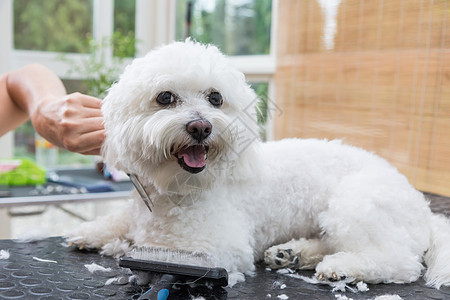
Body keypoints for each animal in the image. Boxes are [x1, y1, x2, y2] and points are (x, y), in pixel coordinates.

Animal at [68, 39, 450, 288]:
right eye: (165, 97)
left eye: (215, 98)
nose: (201, 127)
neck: (176, 190)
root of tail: (423, 207)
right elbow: (119, 222)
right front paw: (93, 232)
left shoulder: (218, 248)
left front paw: (120, 245)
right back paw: (291, 254)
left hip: (354, 204)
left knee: (400, 262)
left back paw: (341, 267)